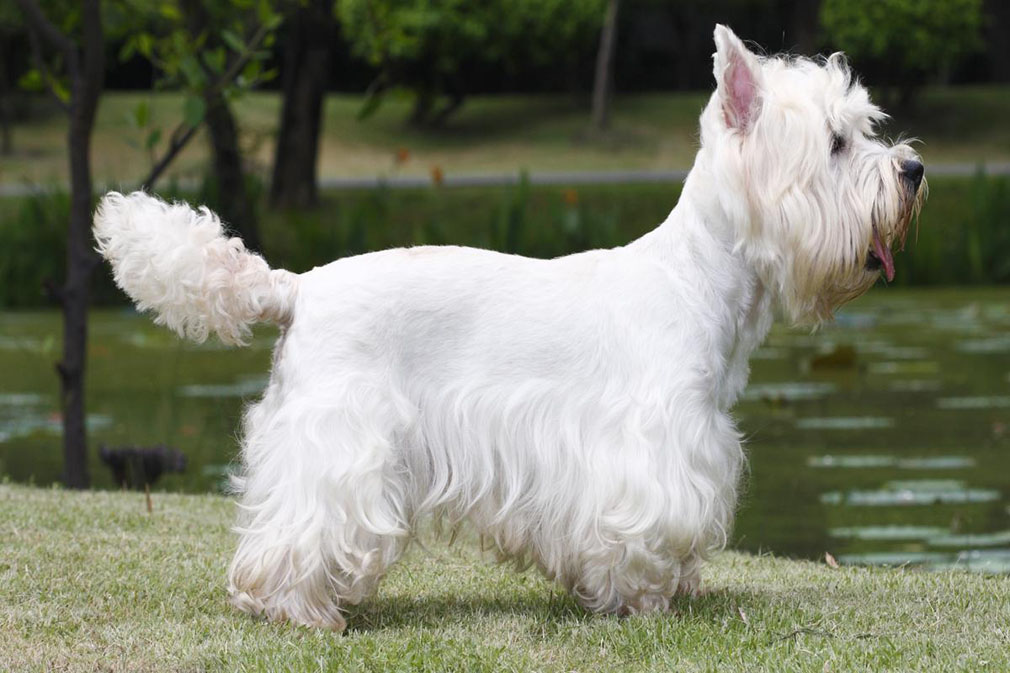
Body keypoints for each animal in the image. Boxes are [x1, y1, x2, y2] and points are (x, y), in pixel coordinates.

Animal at [94, 26, 925, 630]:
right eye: (835, 144)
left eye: (864, 131)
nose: (914, 171)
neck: (698, 275)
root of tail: (298, 287)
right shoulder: (650, 451)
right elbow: (644, 532)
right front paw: (648, 601)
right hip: (342, 440)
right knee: (298, 529)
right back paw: (302, 609)